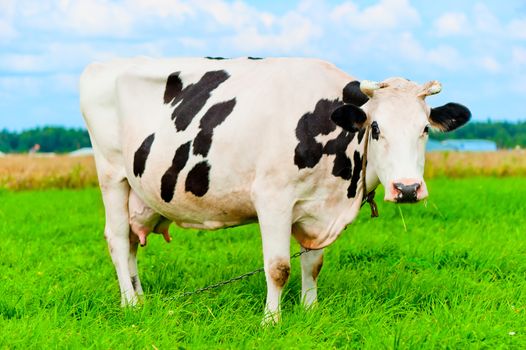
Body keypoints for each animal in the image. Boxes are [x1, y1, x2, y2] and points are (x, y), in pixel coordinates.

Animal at [80, 56, 472, 322]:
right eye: (375, 128)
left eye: (425, 128)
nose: (407, 189)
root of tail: (103, 64)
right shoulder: (272, 199)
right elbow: (278, 266)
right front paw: (272, 320)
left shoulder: (316, 208)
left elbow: (313, 262)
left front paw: (310, 310)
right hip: (112, 174)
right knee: (118, 239)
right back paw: (130, 304)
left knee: (132, 242)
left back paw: (140, 298)